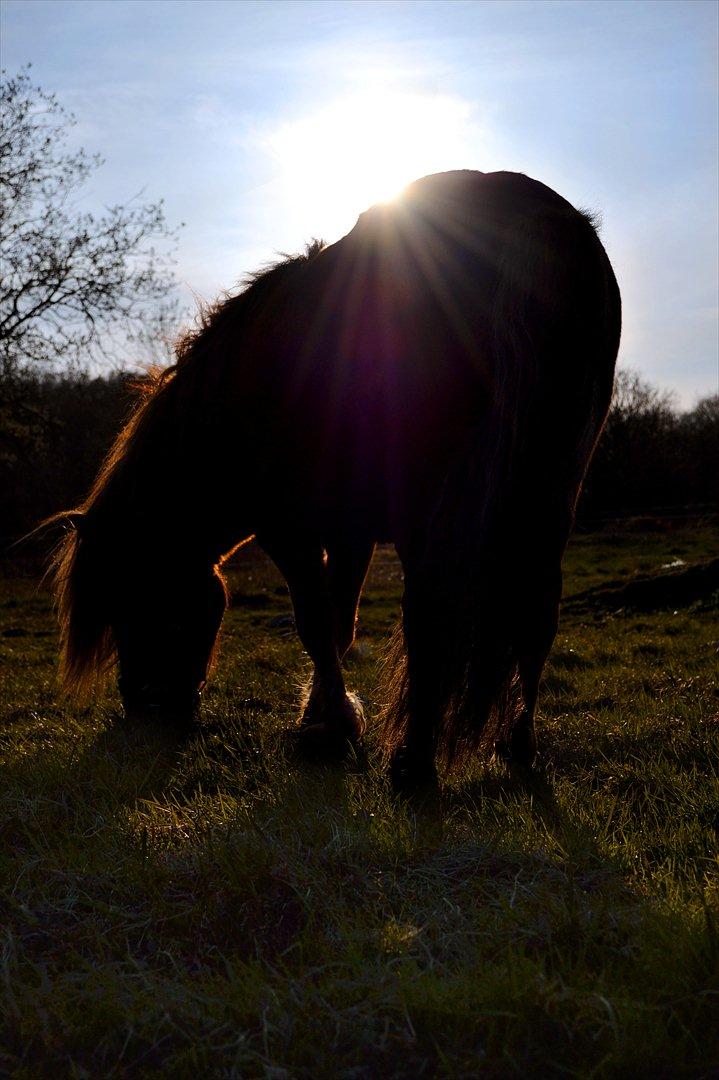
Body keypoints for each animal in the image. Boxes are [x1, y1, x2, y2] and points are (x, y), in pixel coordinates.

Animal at [47, 172, 617, 790]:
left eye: (134, 593)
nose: (144, 714)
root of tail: (531, 217)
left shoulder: (287, 529)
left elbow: (315, 624)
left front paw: (332, 727)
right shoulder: (351, 529)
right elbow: (341, 623)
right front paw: (324, 717)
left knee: (431, 614)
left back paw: (415, 765)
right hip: (549, 496)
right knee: (538, 615)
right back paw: (518, 747)